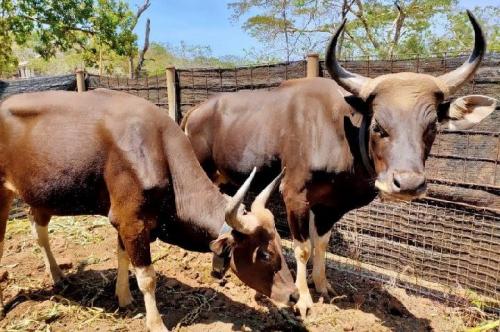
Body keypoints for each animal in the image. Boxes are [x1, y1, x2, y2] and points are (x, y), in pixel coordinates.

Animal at [0, 89, 296, 332]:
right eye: (265, 254)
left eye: (281, 246)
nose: (293, 295)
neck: (158, 148)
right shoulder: (132, 222)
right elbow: (147, 277)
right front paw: (156, 323)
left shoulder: (126, 221)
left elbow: (122, 257)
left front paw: (123, 297)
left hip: (40, 196)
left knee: (38, 228)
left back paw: (59, 276)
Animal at [183, 10, 496, 316]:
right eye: (378, 125)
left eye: (432, 126)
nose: (407, 184)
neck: (338, 133)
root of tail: (196, 110)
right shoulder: (294, 194)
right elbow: (303, 248)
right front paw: (303, 299)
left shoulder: (331, 205)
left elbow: (321, 244)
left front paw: (323, 286)